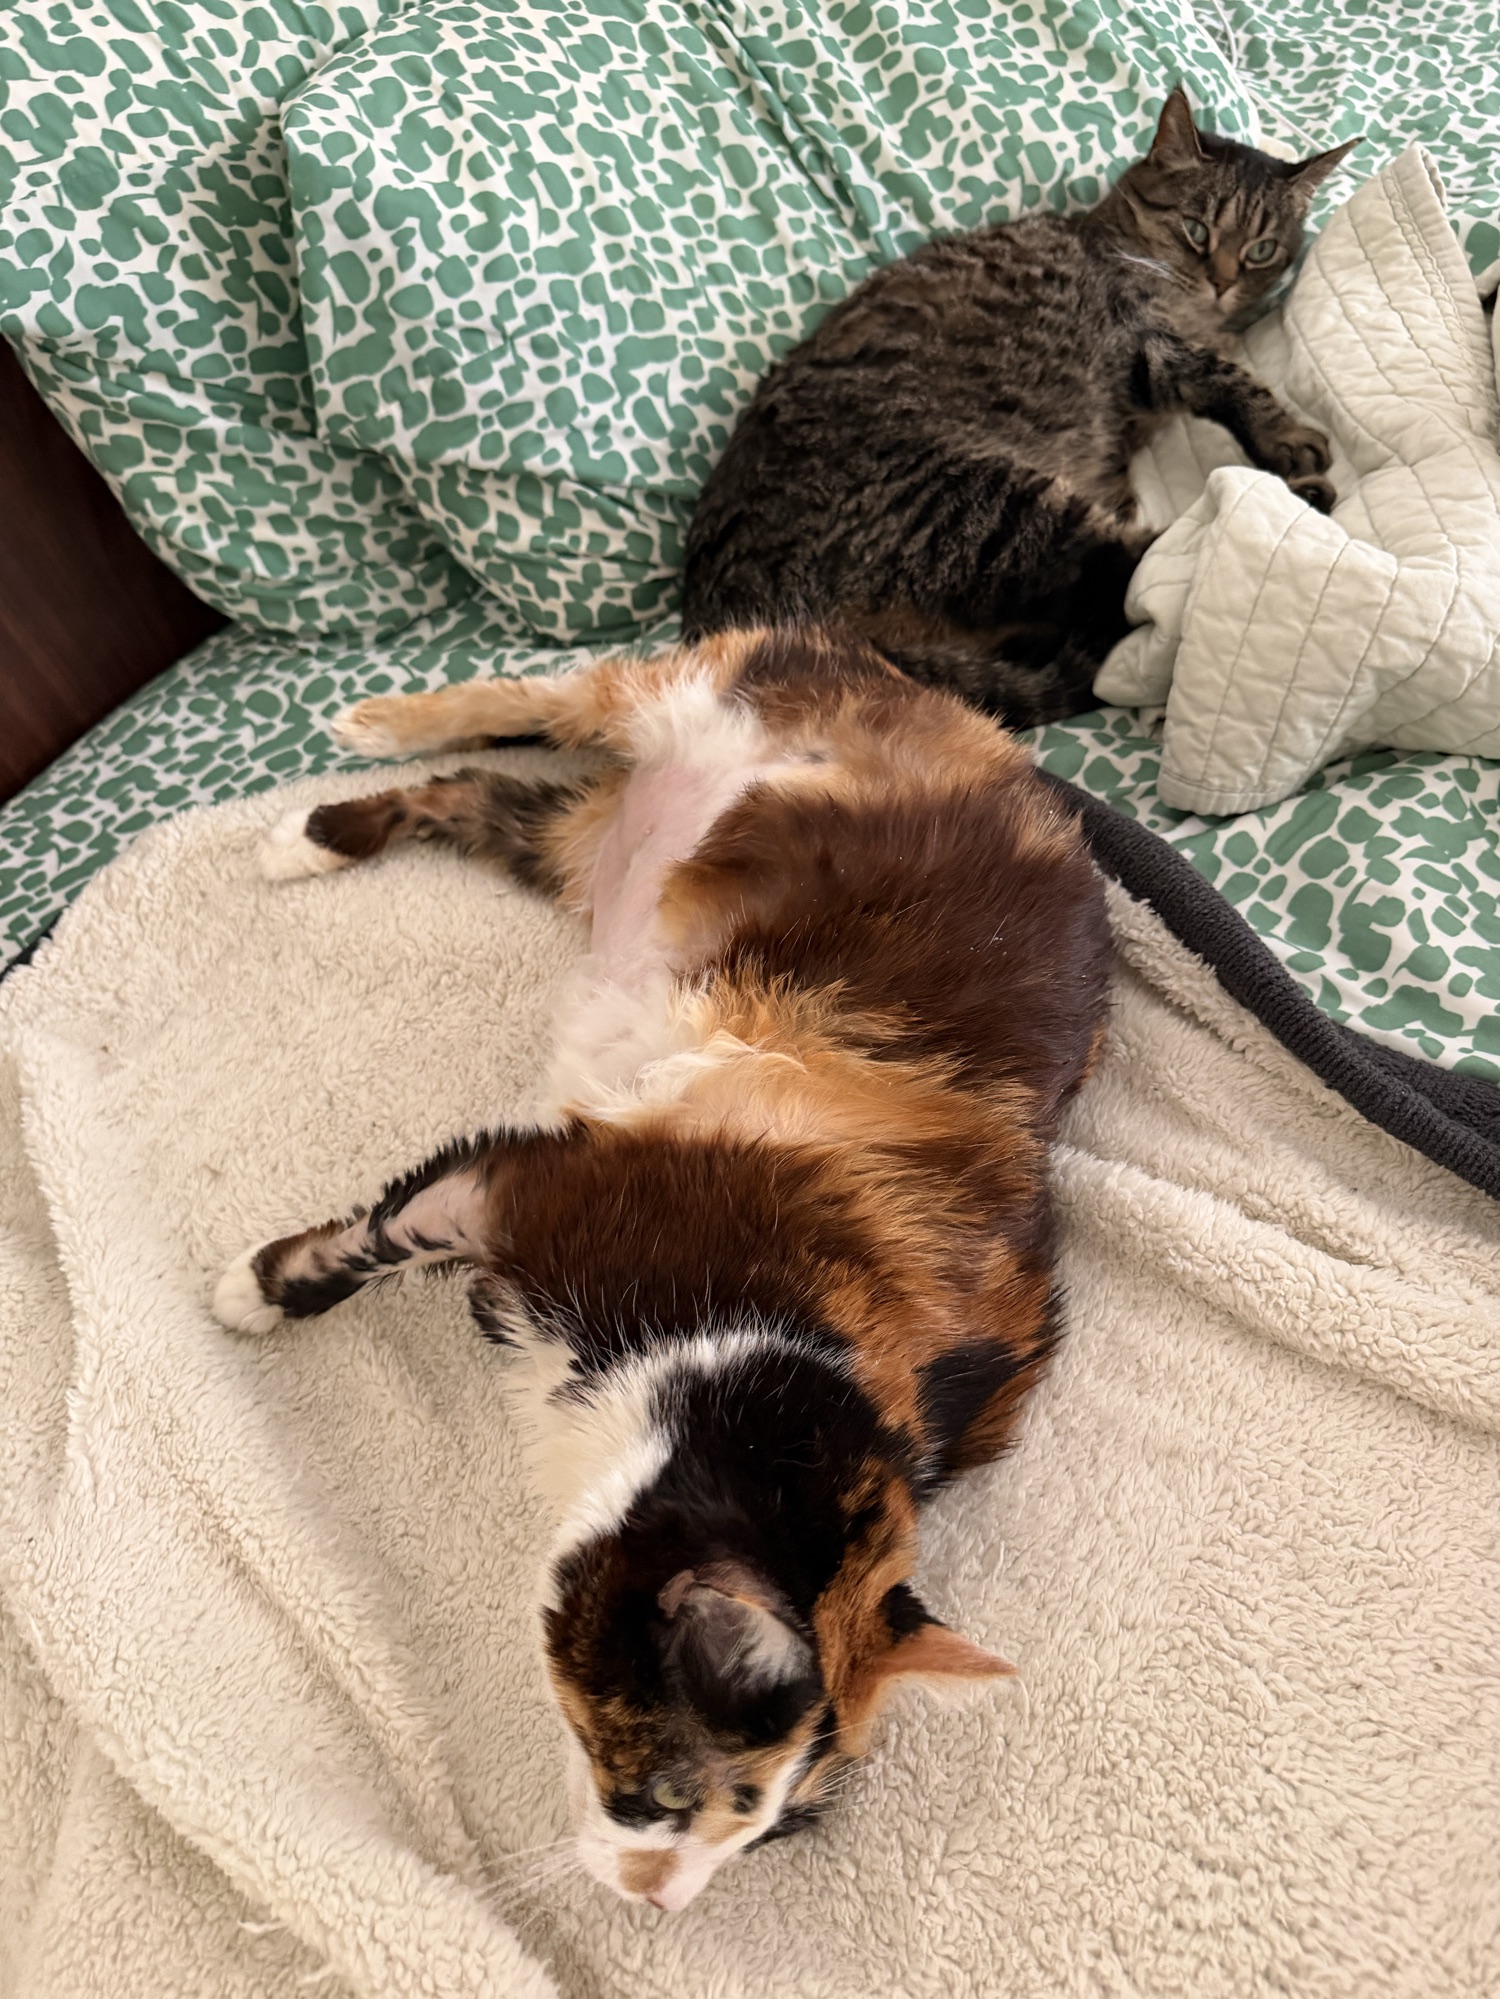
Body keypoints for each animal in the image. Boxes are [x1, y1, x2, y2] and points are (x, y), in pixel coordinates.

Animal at [215, 625, 1113, 1911]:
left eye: (765, 1838)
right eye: (659, 1796)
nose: (660, 1902)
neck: (755, 1372)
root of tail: (955, 715)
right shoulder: (536, 1182)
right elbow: (379, 1233)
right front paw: (247, 1290)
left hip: (571, 843)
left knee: (478, 795)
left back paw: (314, 835)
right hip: (689, 688)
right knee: (545, 692)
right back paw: (361, 737)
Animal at [681, 88, 1359, 726]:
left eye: (1261, 250)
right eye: (1197, 230)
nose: (1222, 281)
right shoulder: (1145, 347)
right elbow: (1230, 378)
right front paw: (1284, 433)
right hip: (987, 509)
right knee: (1131, 574)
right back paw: (1288, 506)